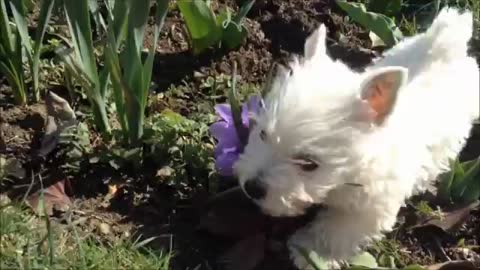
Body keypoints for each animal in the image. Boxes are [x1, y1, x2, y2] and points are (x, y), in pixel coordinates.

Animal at [232, 7, 476, 268]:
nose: (252, 187)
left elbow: (337, 230)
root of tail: (445, 42)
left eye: (309, 164)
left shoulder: (371, 207)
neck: (344, 178)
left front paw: (309, 252)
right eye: (262, 134)